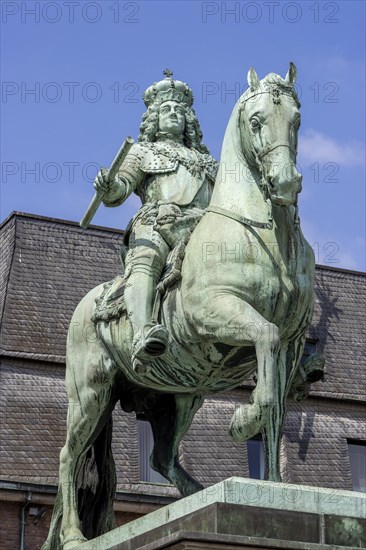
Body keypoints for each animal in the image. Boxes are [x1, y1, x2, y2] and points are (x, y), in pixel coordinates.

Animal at [43, 62, 318, 548]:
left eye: (297, 119)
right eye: (256, 120)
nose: (285, 182)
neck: (263, 234)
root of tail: (84, 308)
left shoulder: (291, 342)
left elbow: (278, 410)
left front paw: (274, 485)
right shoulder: (218, 313)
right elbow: (263, 352)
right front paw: (242, 419)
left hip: (179, 397)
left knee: (163, 458)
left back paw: (197, 496)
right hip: (90, 394)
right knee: (67, 455)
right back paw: (75, 534)